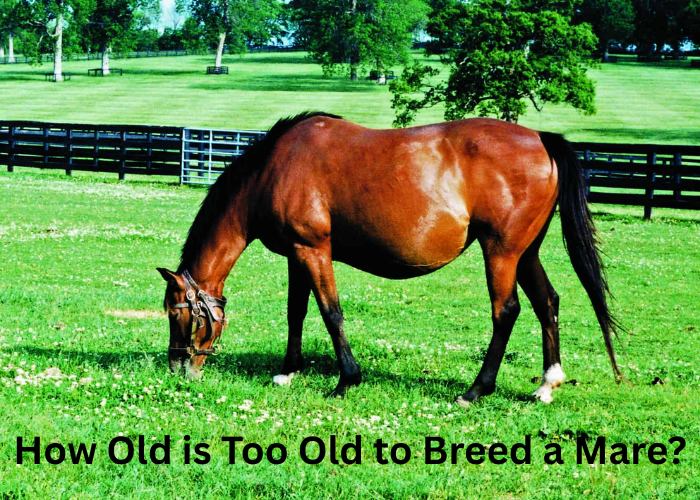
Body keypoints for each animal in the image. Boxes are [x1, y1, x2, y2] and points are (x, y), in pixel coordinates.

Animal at [157, 111, 622, 405]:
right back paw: (547, 384)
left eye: (177, 314)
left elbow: (331, 313)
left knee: (506, 312)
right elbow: (296, 312)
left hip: (501, 251)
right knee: (548, 302)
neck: (274, 168)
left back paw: (475, 391)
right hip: (526, 252)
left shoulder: (314, 250)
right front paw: (288, 371)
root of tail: (541, 139)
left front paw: (346, 380)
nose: (179, 368)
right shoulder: (296, 255)